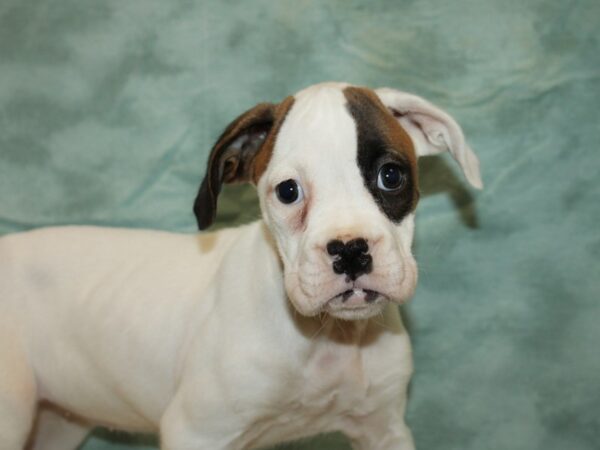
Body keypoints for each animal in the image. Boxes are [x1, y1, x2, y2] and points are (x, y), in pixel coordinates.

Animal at [0, 81, 482, 450]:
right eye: (288, 191)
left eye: (391, 176)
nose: (349, 250)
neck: (327, 340)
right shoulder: (197, 432)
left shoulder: (383, 430)